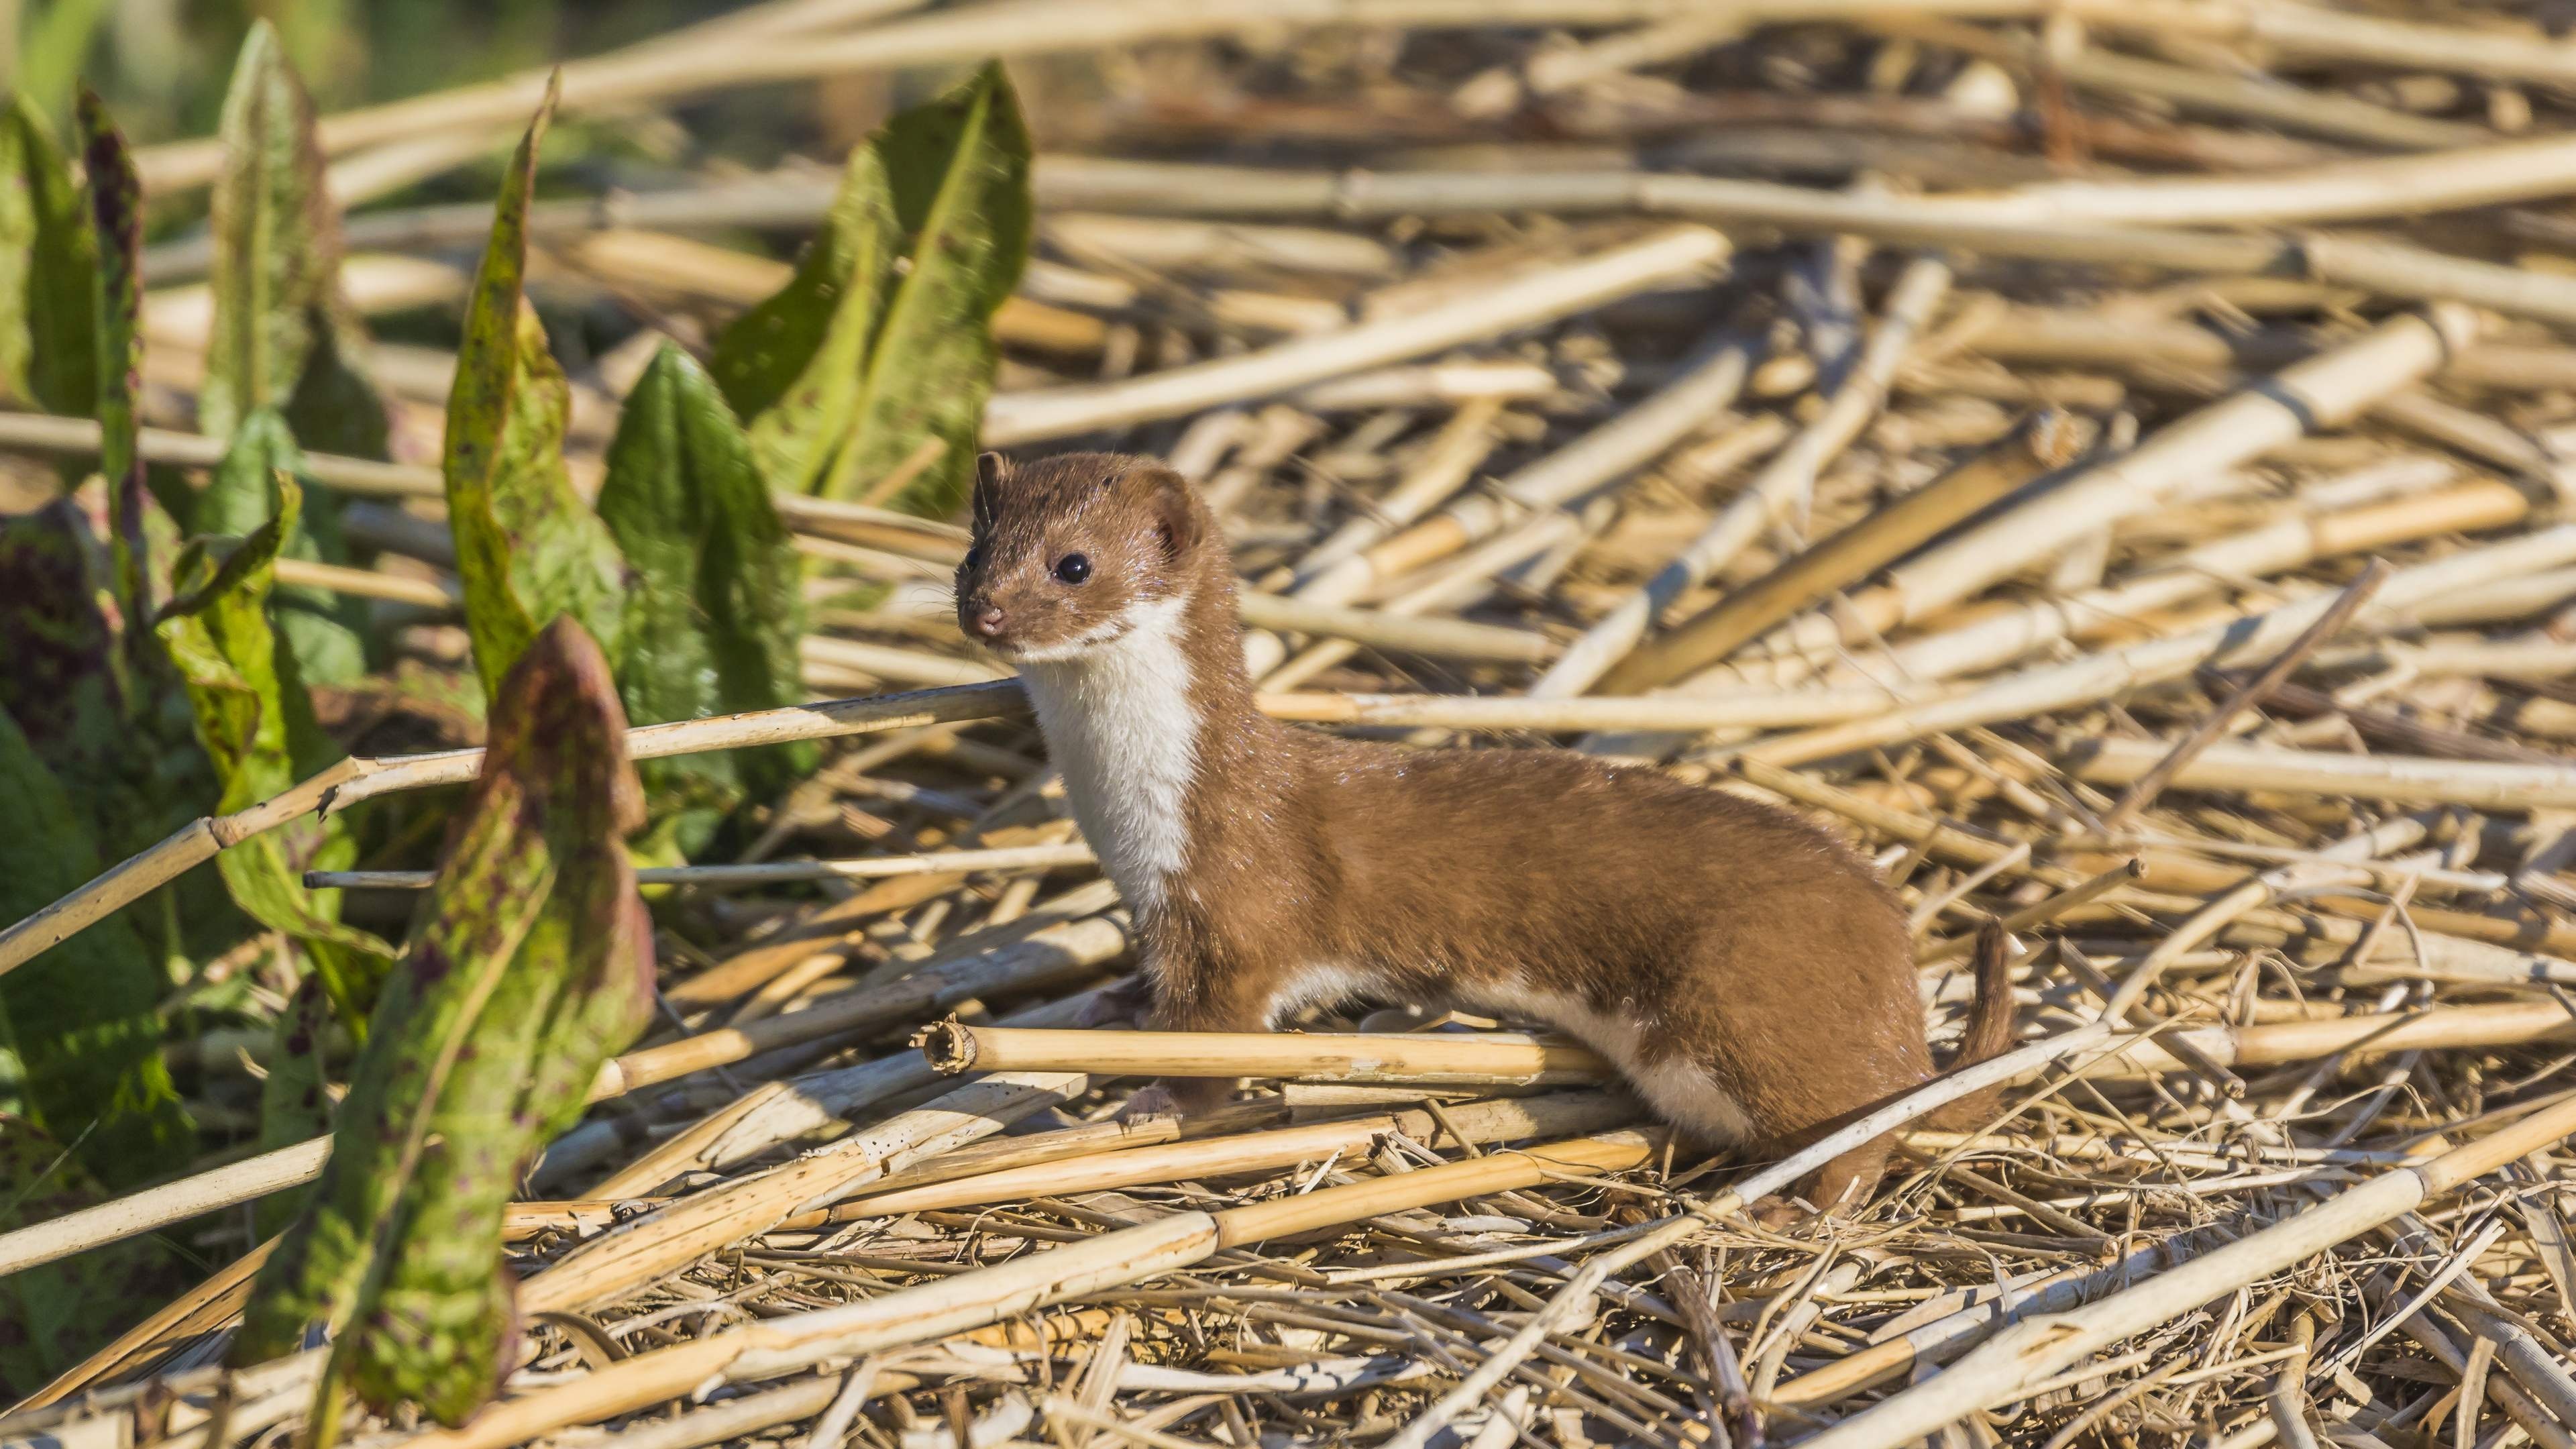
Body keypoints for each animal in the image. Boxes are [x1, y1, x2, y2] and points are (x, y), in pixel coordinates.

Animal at [958, 448, 2019, 1206]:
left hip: (1752, 1007)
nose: (987, 611)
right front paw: (1115, 1004)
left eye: (1074, 564)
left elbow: (1216, 1042)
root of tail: (1903, 1000)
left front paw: (1150, 1100)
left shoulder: (1234, 907)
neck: (1133, 822)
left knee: (1859, 1132)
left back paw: (1801, 1205)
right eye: (973, 551)